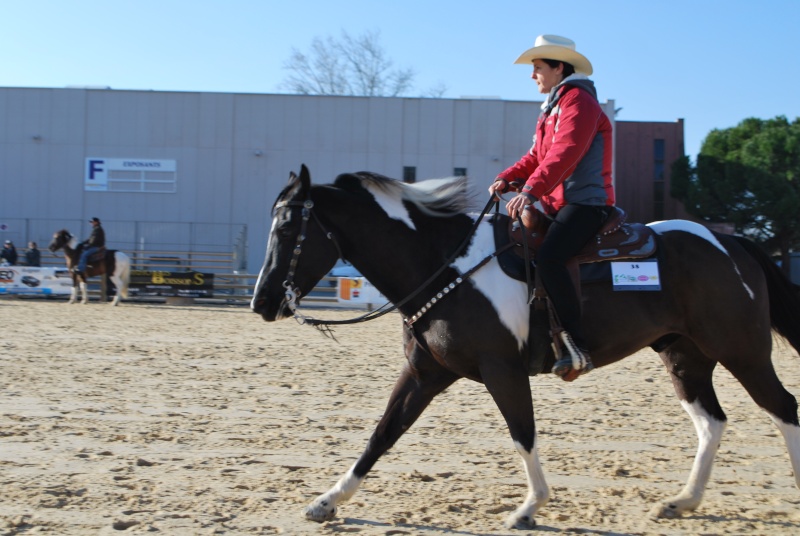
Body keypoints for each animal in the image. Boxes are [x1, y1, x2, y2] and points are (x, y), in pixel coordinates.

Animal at [250, 165, 800, 528]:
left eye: (287, 227)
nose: (261, 301)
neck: (446, 266)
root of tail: (731, 244)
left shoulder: (503, 370)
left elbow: (522, 434)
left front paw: (530, 506)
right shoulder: (425, 373)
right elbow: (382, 434)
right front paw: (328, 500)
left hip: (743, 351)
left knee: (783, 407)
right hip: (684, 356)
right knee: (712, 423)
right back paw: (681, 501)